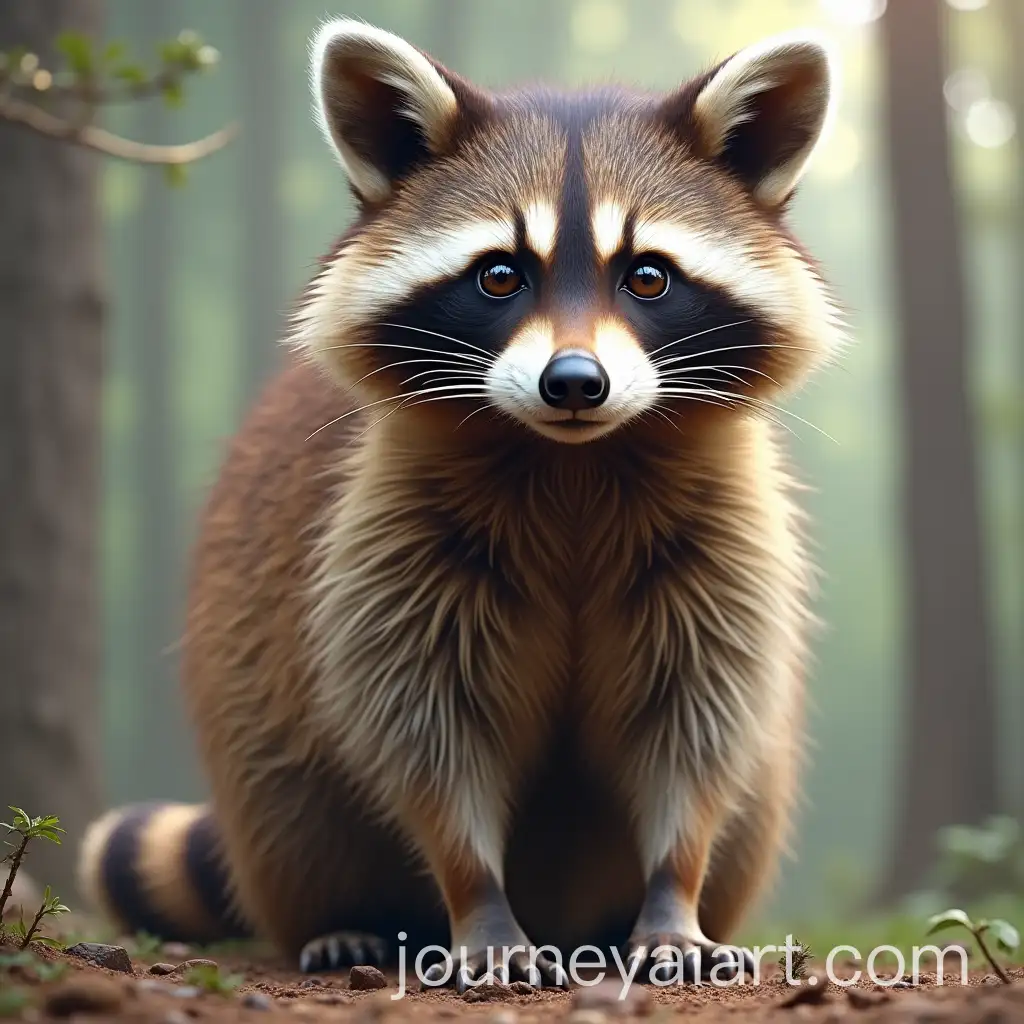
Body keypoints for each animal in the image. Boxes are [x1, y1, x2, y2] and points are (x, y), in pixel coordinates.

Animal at [79, 18, 844, 988]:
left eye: (647, 277)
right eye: (499, 276)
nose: (575, 383)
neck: (573, 464)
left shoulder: (723, 539)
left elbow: (696, 724)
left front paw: (675, 890)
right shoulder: (383, 538)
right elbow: (429, 735)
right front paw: (478, 899)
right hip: (257, 709)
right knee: (285, 791)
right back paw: (346, 920)